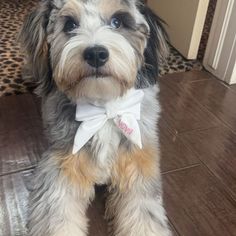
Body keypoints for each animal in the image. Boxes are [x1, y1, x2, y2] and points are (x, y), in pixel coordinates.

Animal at [19, 0, 171, 236]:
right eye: (70, 25)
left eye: (117, 22)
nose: (96, 54)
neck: (103, 107)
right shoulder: (60, 167)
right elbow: (57, 215)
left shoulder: (137, 163)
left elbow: (143, 213)